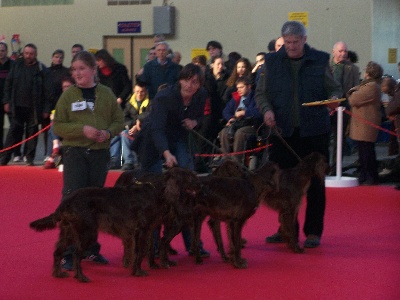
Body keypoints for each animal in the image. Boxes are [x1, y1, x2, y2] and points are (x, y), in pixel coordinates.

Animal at [30, 168, 200, 282]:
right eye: (190, 177)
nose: (201, 185)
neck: (157, 189)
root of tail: (68, 201)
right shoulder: (142, 229)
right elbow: (141, 251)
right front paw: (139, 271)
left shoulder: (145, 230)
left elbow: (143, 250)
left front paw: (138, 268)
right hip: (87, 232)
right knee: (76, 254)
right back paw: (81, 277)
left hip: (69, 231)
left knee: (58, 252)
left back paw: (58, 273)